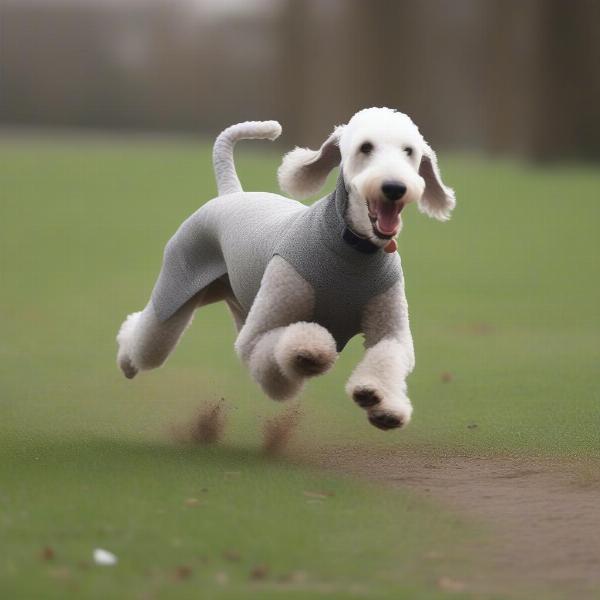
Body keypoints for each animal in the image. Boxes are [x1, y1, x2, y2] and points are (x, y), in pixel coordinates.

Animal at [116, 105, 454, 428]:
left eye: (409, 151)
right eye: (365, 147)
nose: (395, 187)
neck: (351, 248)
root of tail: (231, 194)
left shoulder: (390, 328)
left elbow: (389, 353)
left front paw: (380, 403)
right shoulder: (261, 329)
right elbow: (281, 344)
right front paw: (313, 353)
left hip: (239, 302)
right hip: (177, 280)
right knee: (149, 335)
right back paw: (125, 360)